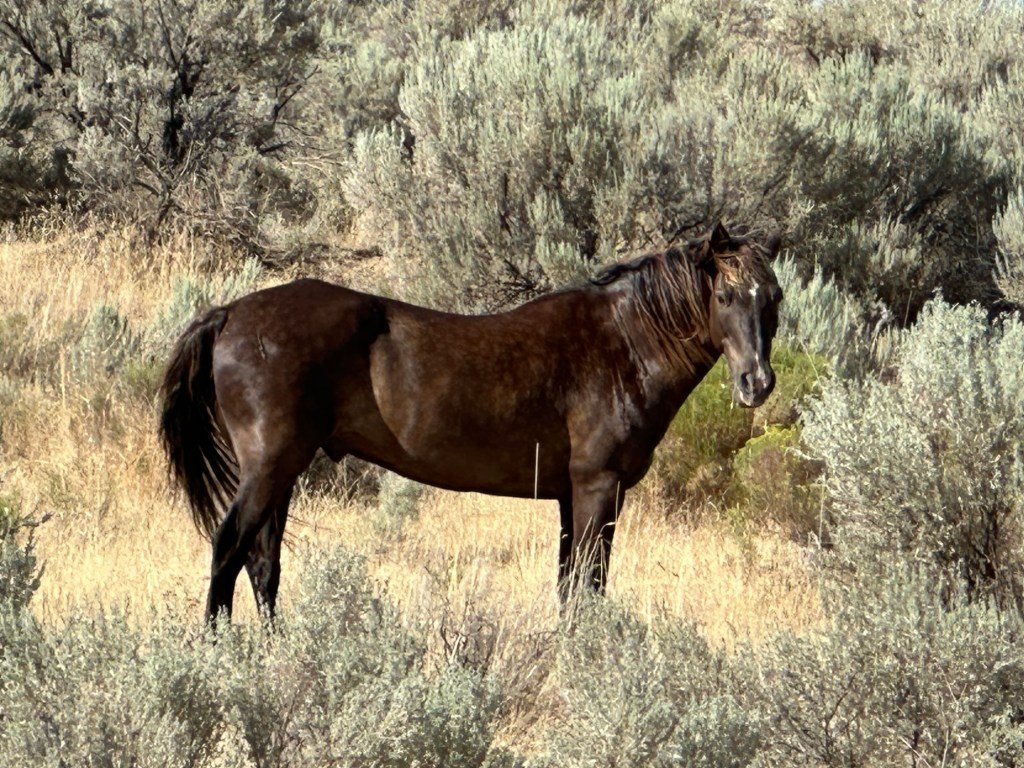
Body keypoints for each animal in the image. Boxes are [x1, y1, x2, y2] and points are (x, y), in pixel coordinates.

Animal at [159, 223, 782, 621]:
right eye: (725, 295)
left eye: (773, 296)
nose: (757, 383)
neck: (621, 344)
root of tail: (230, 313)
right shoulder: (599, 487)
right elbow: (589, 586)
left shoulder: (568, 495)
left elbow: (569, 586)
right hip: (270, 464)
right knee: (229, 547)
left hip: (283, 471)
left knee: (262, 562)